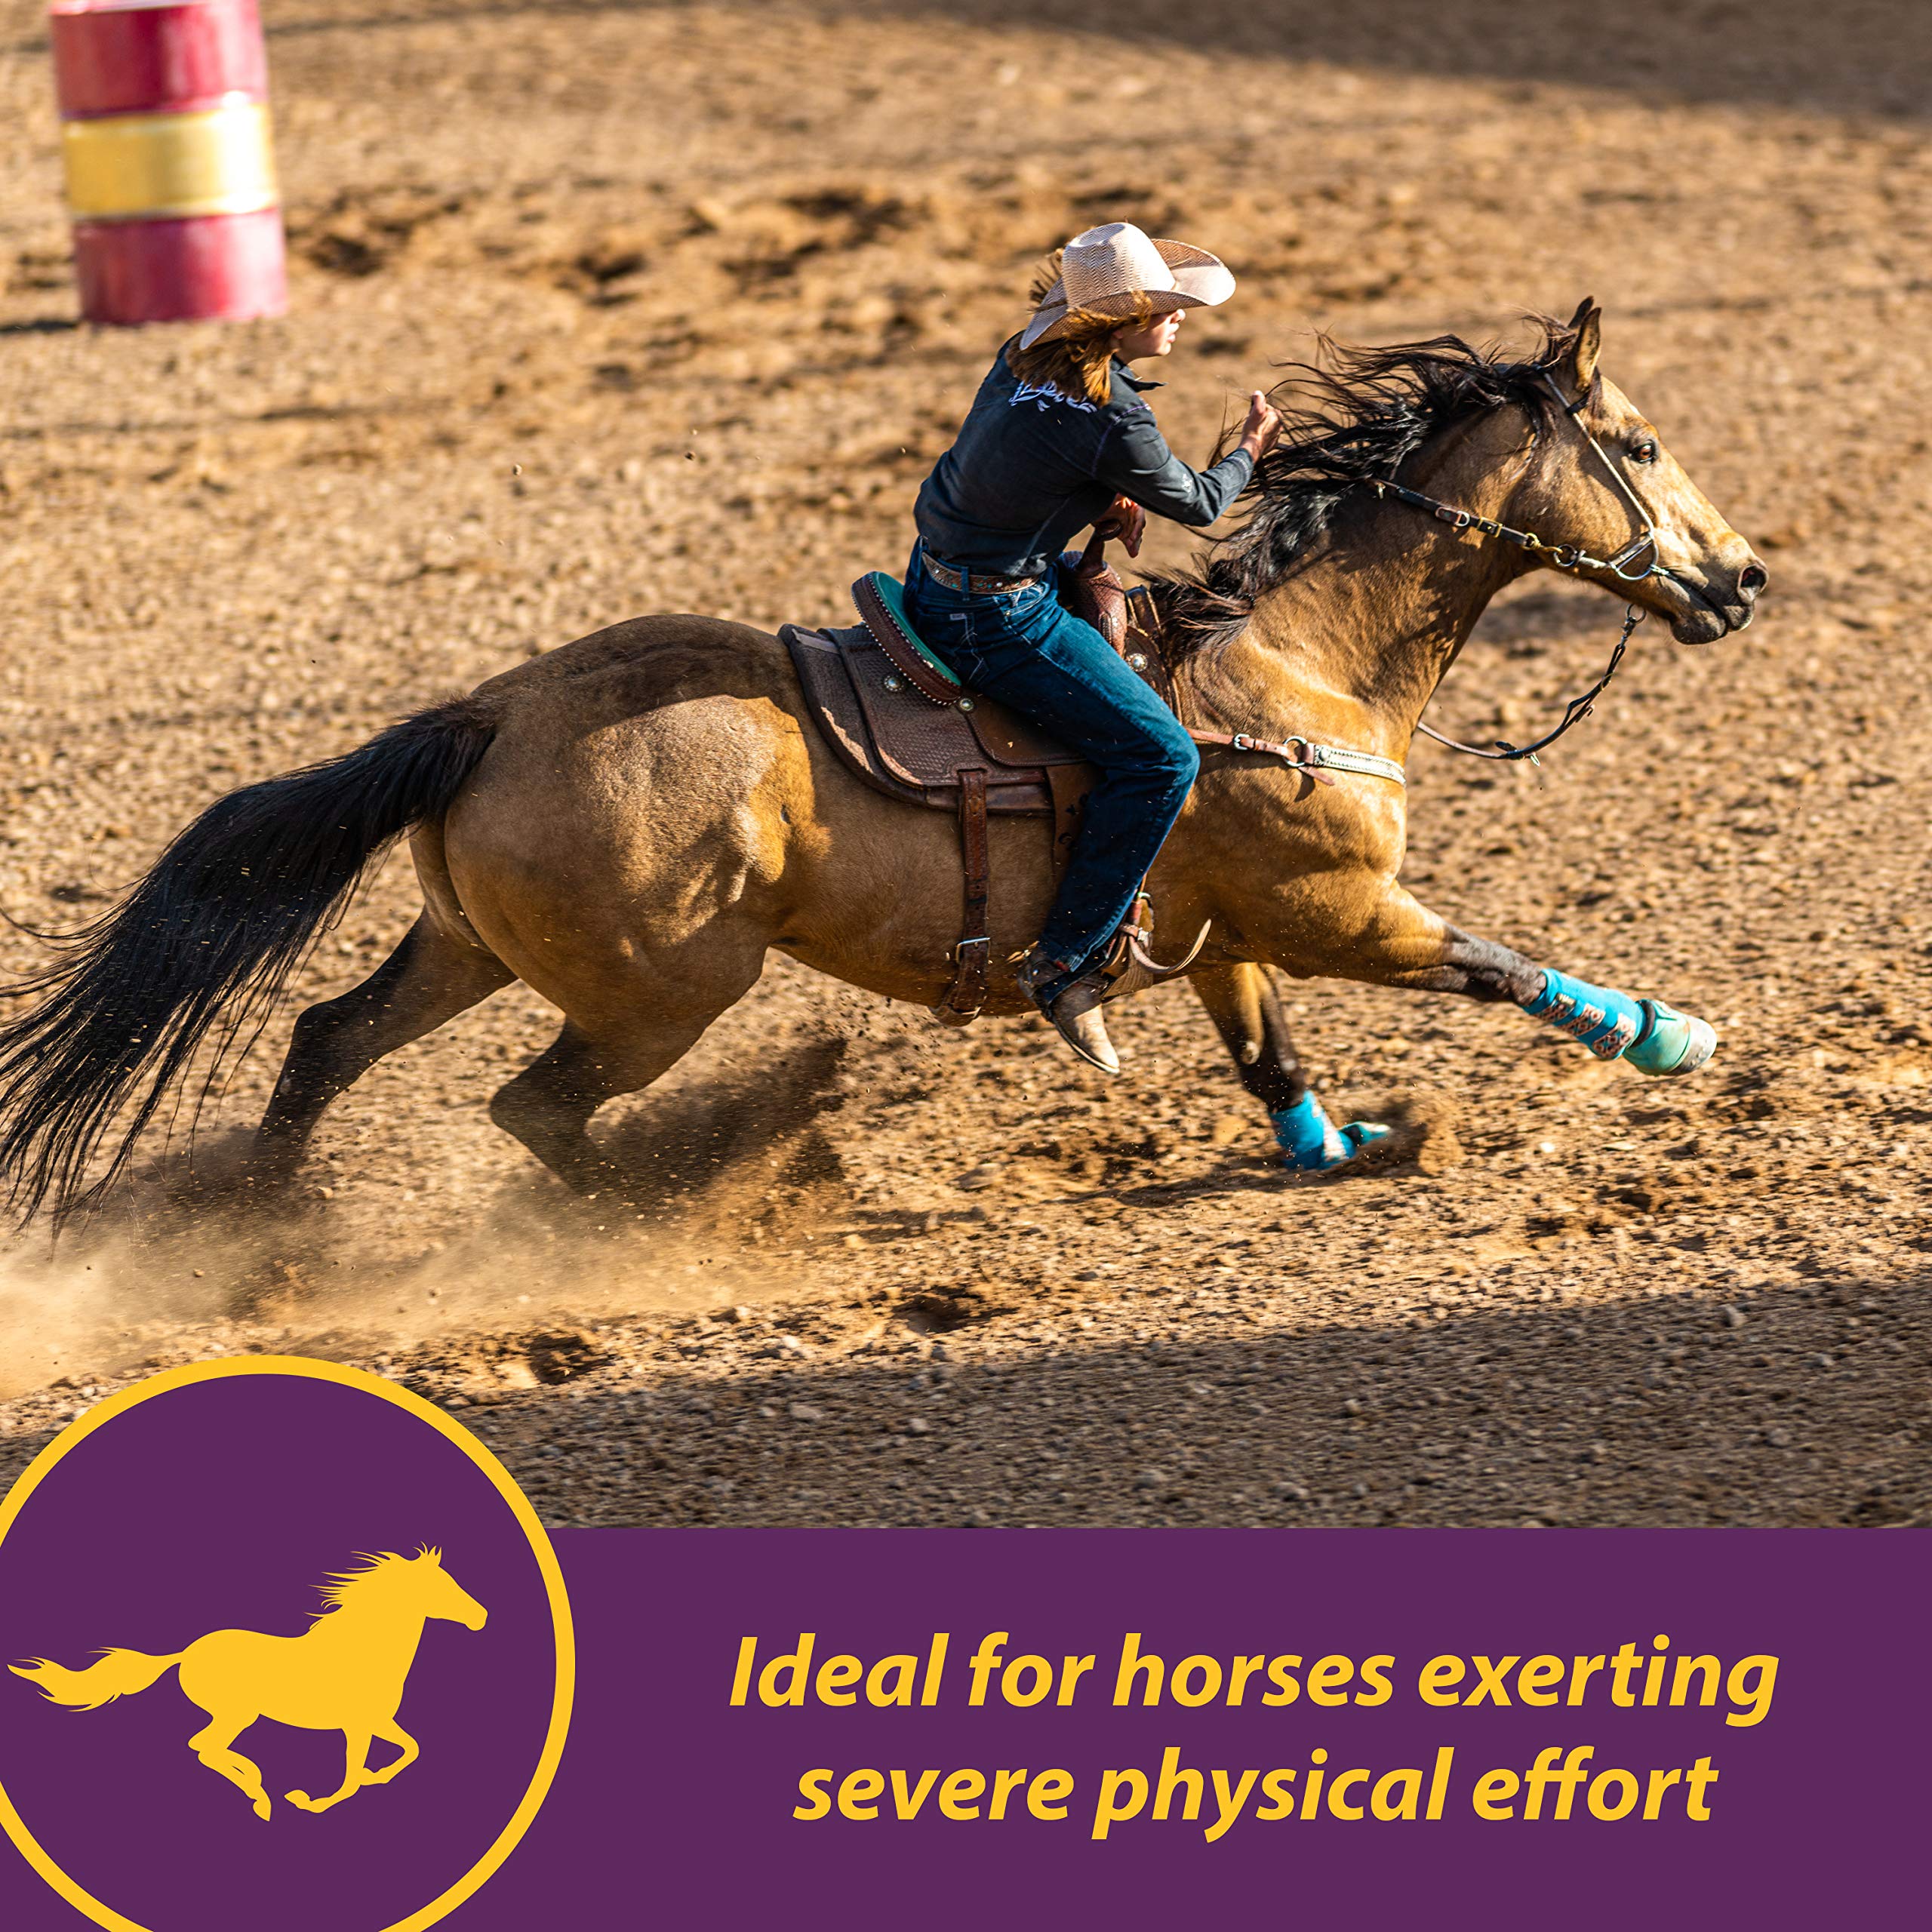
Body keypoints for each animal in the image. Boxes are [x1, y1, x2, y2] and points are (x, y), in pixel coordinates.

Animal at [0, 299, 1765, 1221]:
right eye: (1641, 441)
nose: (1742, 579)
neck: (1292, 658)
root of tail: (490, 715)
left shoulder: (1228, 934)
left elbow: (1271, 1061)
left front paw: (1348, 1147)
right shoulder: (1339, 915)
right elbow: (1496, 962)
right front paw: (1666, 1035)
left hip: (467, 944)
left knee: (324, 1042)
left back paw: (265, 1241)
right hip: (658, 994)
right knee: (533, 1113)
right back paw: (689, 1191)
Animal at [9, 1547, 486, 1819]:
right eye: (442, 1588)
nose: (481, 1617)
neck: (365, 1652)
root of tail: (185, 1653)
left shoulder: (378, 1722)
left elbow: (411, 1750)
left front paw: (375, 1778)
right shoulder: (356, 1727)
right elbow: (350, 1778)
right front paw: (310, 1801)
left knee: (204, 1748)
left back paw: (258, 1788)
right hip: (237, 1714)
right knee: (203, 1747)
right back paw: (261, 1794)